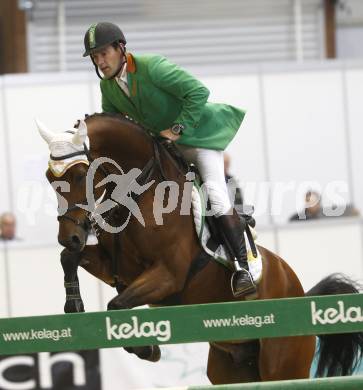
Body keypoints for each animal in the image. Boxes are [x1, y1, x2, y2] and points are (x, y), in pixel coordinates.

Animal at [37, 112, 363, 384]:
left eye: (81, 175)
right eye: (50, 178)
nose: (69, 235)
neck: (138, 196)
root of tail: (300, 292)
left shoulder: (168, 276)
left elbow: (116, 305)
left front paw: (146, 347)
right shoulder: (117, 268)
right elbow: (69, 258)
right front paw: (73, 304)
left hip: (283, 364)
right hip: (231, 366)